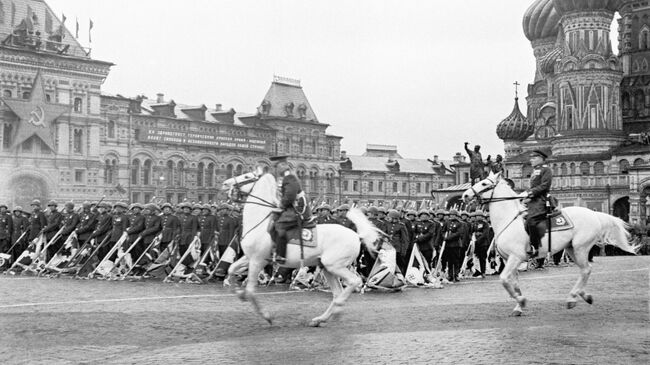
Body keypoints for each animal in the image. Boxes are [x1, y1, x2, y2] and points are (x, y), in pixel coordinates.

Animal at [221, 166, 380, 326]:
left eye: (247, 176)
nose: (225, 184)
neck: (260, 223)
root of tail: (356, 235)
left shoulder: (257, 261)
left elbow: (250, 291)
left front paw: (266, 315)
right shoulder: (250, 258)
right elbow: (231, 269)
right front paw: (237, 291)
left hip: (335, 266)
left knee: (354, 282)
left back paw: (337, 307)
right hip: (327, 268)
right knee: (337, 292)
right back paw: (321, 318)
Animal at [460, 172, 636, 314]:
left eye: (484, 183)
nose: (465, 195)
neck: (508, 220)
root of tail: (594, 214)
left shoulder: (515, 257)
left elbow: (503, 279)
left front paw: (521, 301)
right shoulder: (509, 259)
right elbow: (514, 283)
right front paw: (519, 305)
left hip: (580, 248)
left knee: (586, 270)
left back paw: (572, 298)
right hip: (571, 249)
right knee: (585, 270)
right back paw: (583, 296)